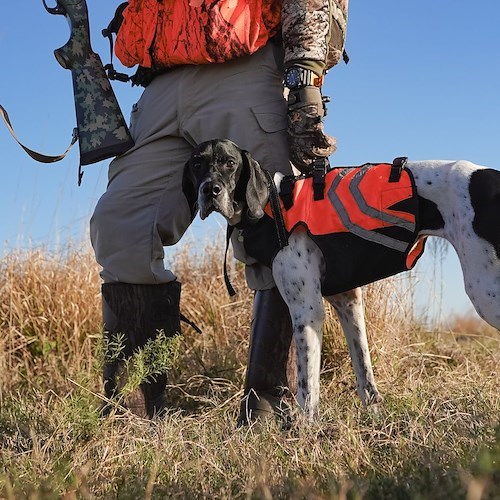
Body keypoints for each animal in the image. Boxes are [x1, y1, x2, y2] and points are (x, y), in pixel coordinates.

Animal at [183, 139, 500, 420]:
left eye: (230, 163)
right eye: (197, 164)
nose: (209, 190)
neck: (270, 204)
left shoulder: (307, 310)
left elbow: (307, 388)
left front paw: (306, 433)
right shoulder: (348, 300)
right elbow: (364, 371)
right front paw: (374, 420)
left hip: (485, 290)